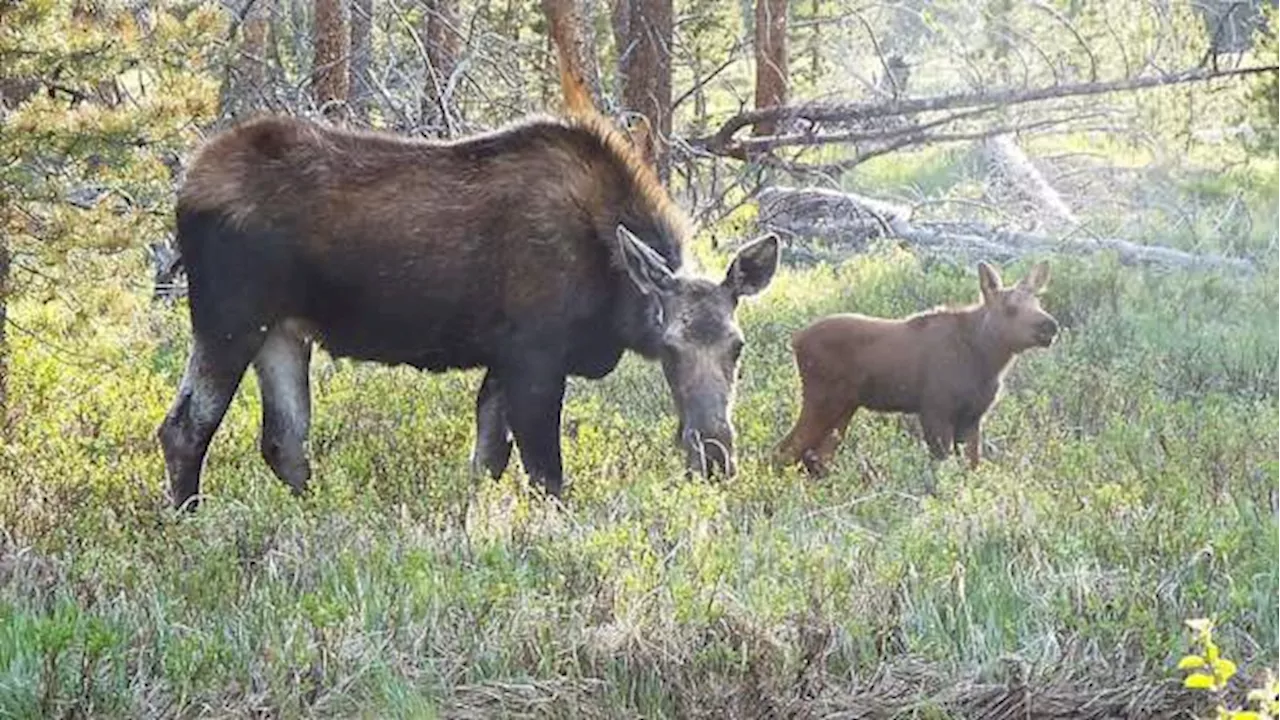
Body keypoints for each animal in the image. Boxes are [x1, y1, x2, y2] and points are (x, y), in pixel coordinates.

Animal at [160, 112, 778, 507]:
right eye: (669, 350)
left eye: (737, 347)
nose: (716, 455)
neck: (612, 290)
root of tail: (186, 184)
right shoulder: (534, 357)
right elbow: (547, 477)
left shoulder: (504, 362)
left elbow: (487, 463)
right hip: (229, 318)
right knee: (184, 429)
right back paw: (190, 525)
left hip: (282, 331)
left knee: (285, 443)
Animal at [768, 260, 1059, 474]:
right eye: (1010, 308)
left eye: (1038, 302)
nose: (1050, 325)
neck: (988, 360)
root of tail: (795, 340)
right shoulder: (935, 410)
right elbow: (942, 467)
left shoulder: (973, 416)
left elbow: (971, 466)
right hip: (823, 399)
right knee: (784, 451)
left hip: (845, 405)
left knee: (816, 457)